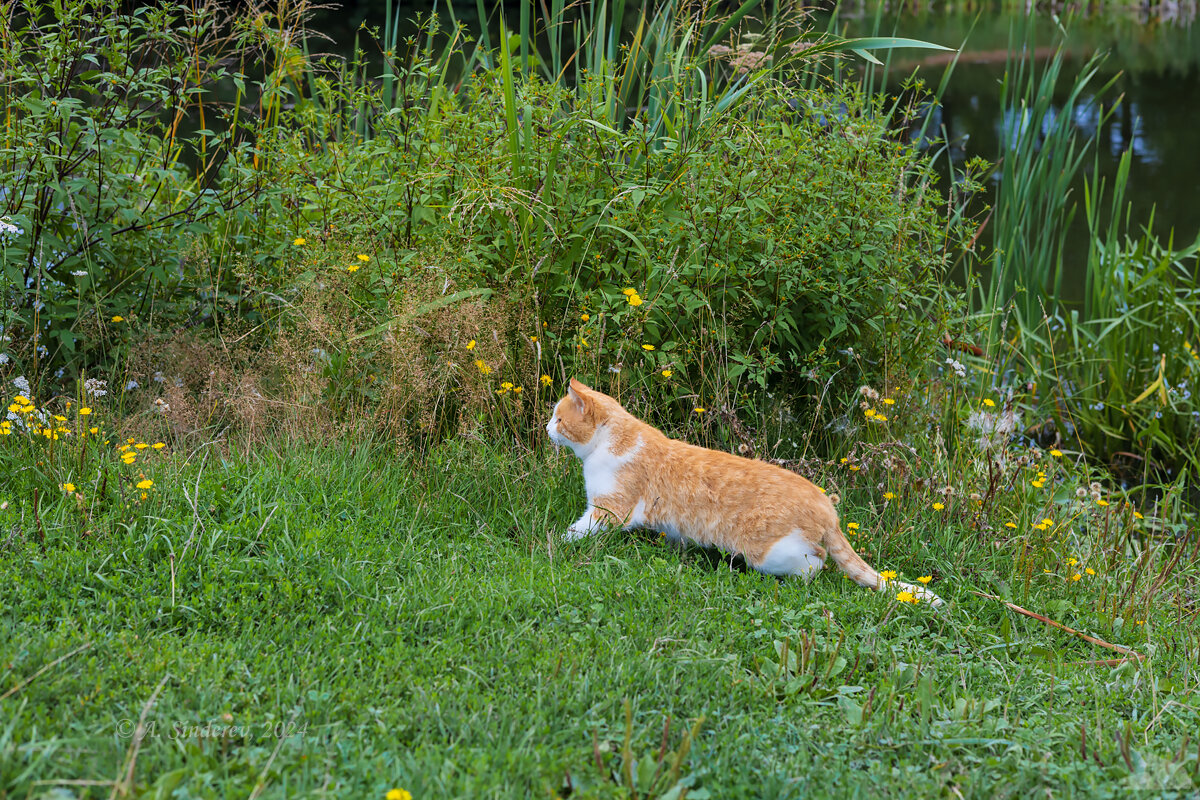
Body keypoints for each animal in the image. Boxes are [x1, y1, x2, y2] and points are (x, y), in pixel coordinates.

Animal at [547, 381, 945, 606]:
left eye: (559, 419)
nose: (545, 427)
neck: (610, 441)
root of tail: (826, 506)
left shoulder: (608, 510)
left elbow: (577, 530)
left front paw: (554, 543)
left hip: (768, 552)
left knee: (816, 561)